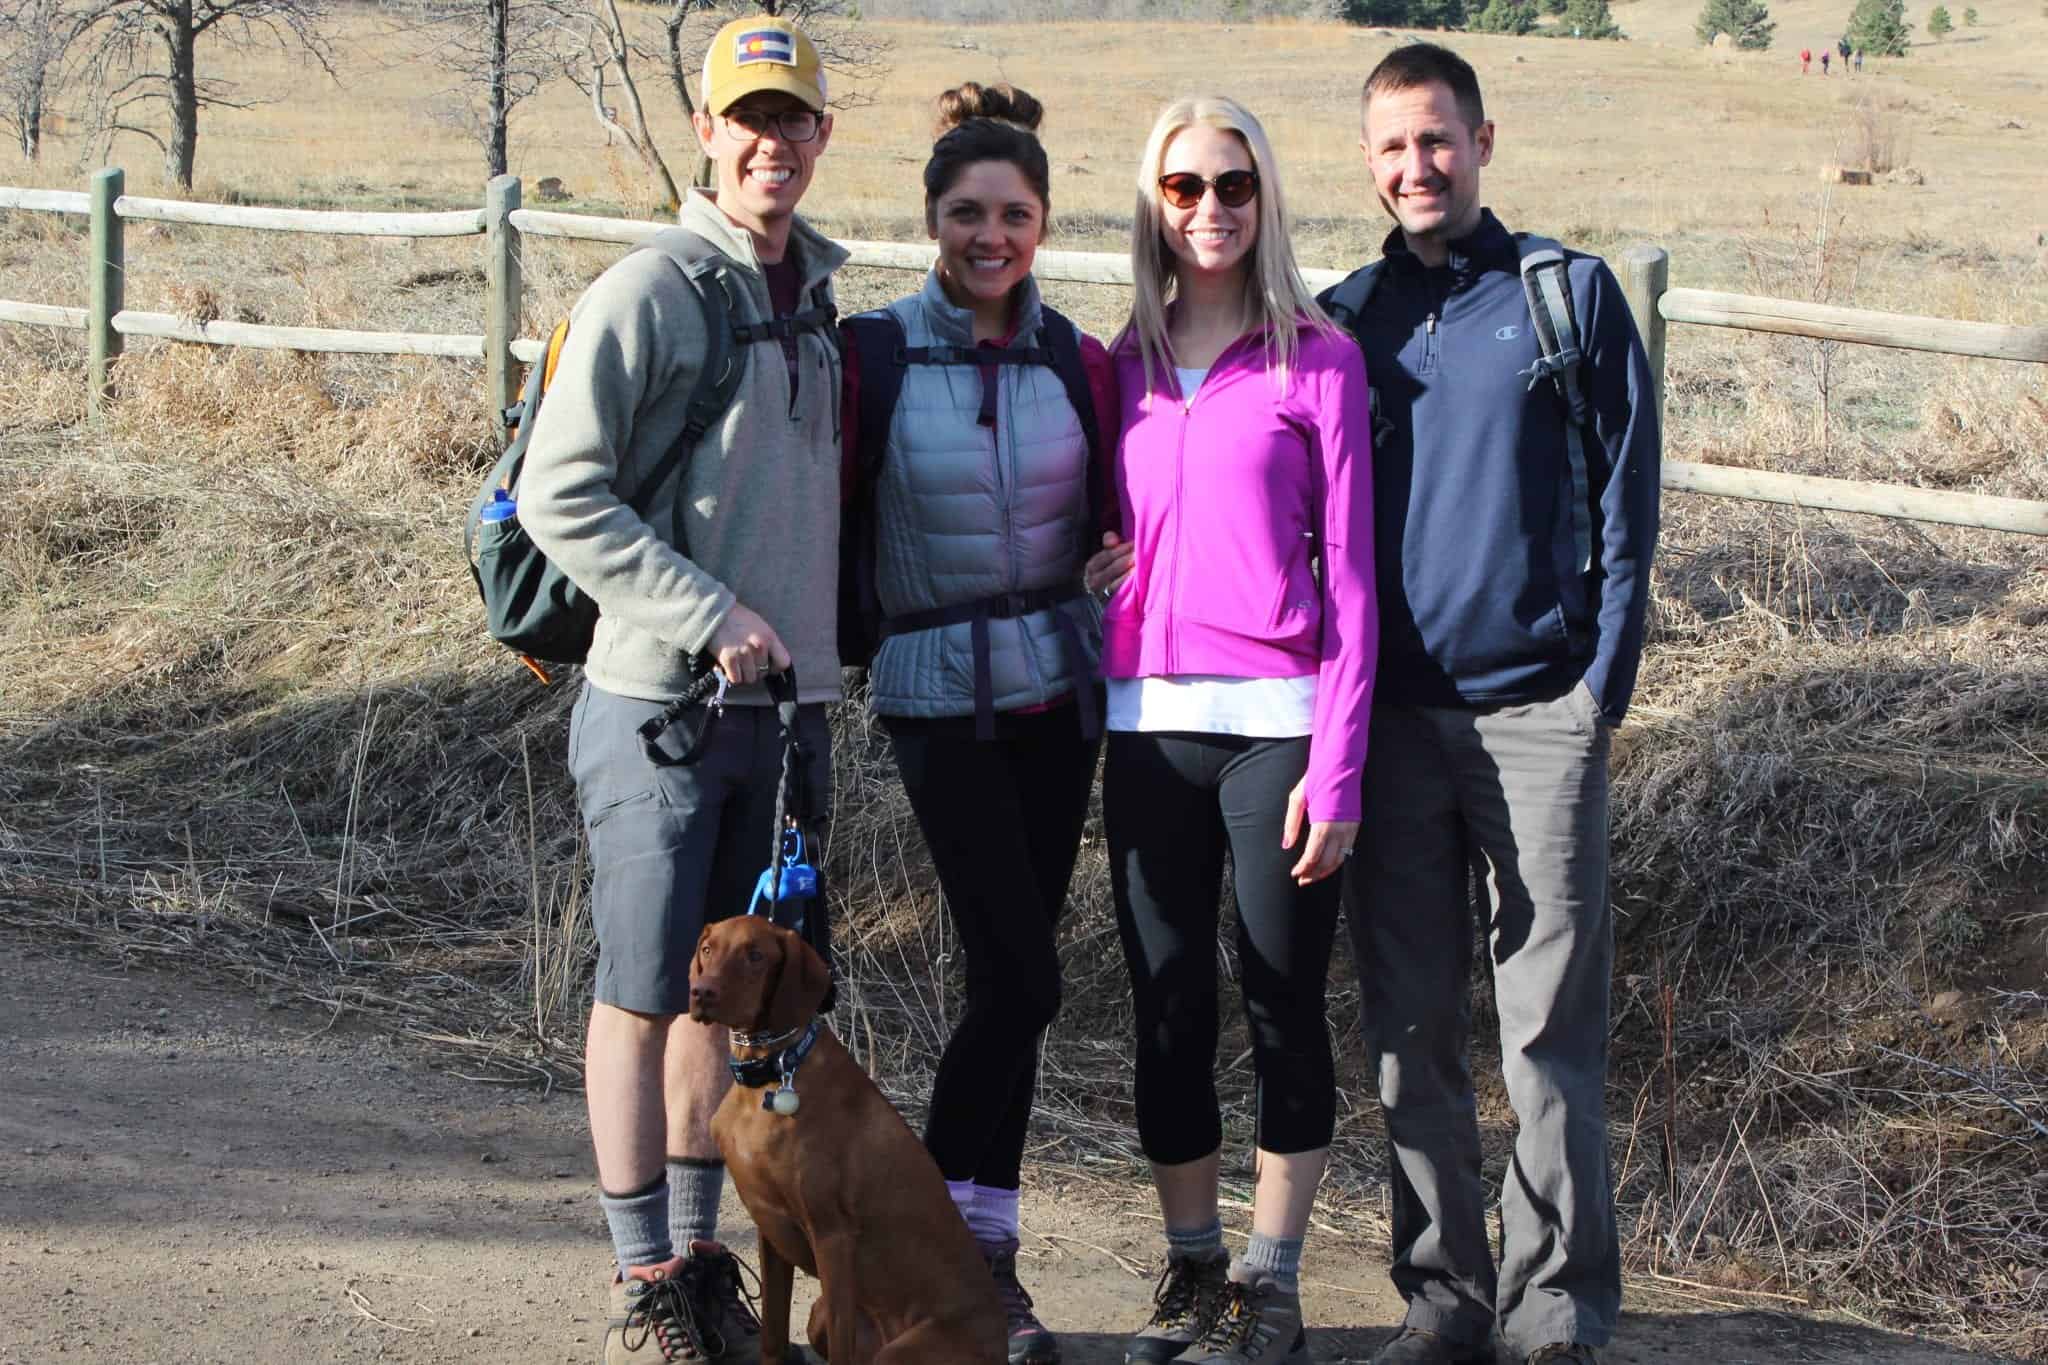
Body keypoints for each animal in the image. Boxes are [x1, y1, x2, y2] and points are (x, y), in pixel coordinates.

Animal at [688, 916, 1007, 1365]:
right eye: (708, 949)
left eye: (755, 955)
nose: (702, 992)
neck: (771, 1072)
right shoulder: (770, 1229)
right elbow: (772, 1333)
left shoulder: (832, 1236)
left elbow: (838, 1344)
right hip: (821, 1317)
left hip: (898, 1349)